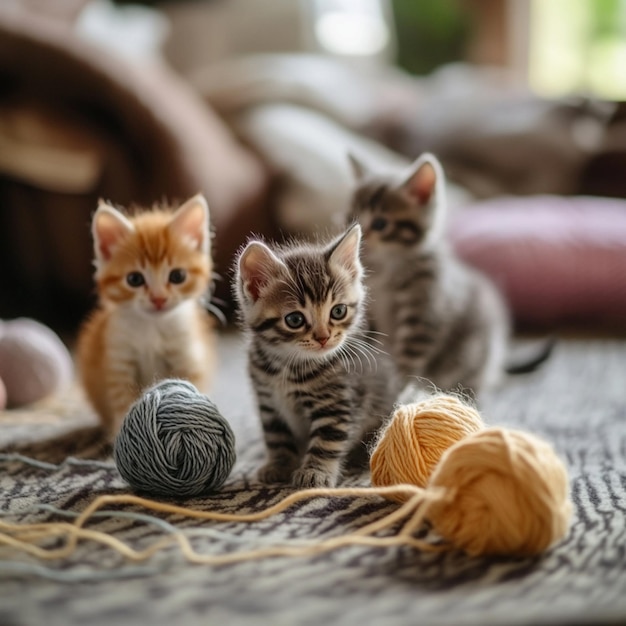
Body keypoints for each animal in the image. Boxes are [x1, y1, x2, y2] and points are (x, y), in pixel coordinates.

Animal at [76, 193, 217, 436]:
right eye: (134, 279)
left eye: (177, 276)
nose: (158, 299)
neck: (152, 328)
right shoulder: (119, 360)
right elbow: (123, 402)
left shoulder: (186, 356)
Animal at [233, 224, 400, 488]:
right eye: (294, 319)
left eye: (338, 311)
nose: (324, 338)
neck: (286, 364)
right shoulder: (269, 401)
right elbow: (277, 436)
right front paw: (278, 465)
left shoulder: (336, 403)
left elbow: (327, 440)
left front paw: (315, 472)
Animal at [346, 151, 516, 394]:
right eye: (350, 217)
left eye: (380, 223)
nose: (361, 240)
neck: (387, 268)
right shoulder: (373, 313)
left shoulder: (424, 311)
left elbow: (407, 359)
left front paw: (399, 388)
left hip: (472, 355)